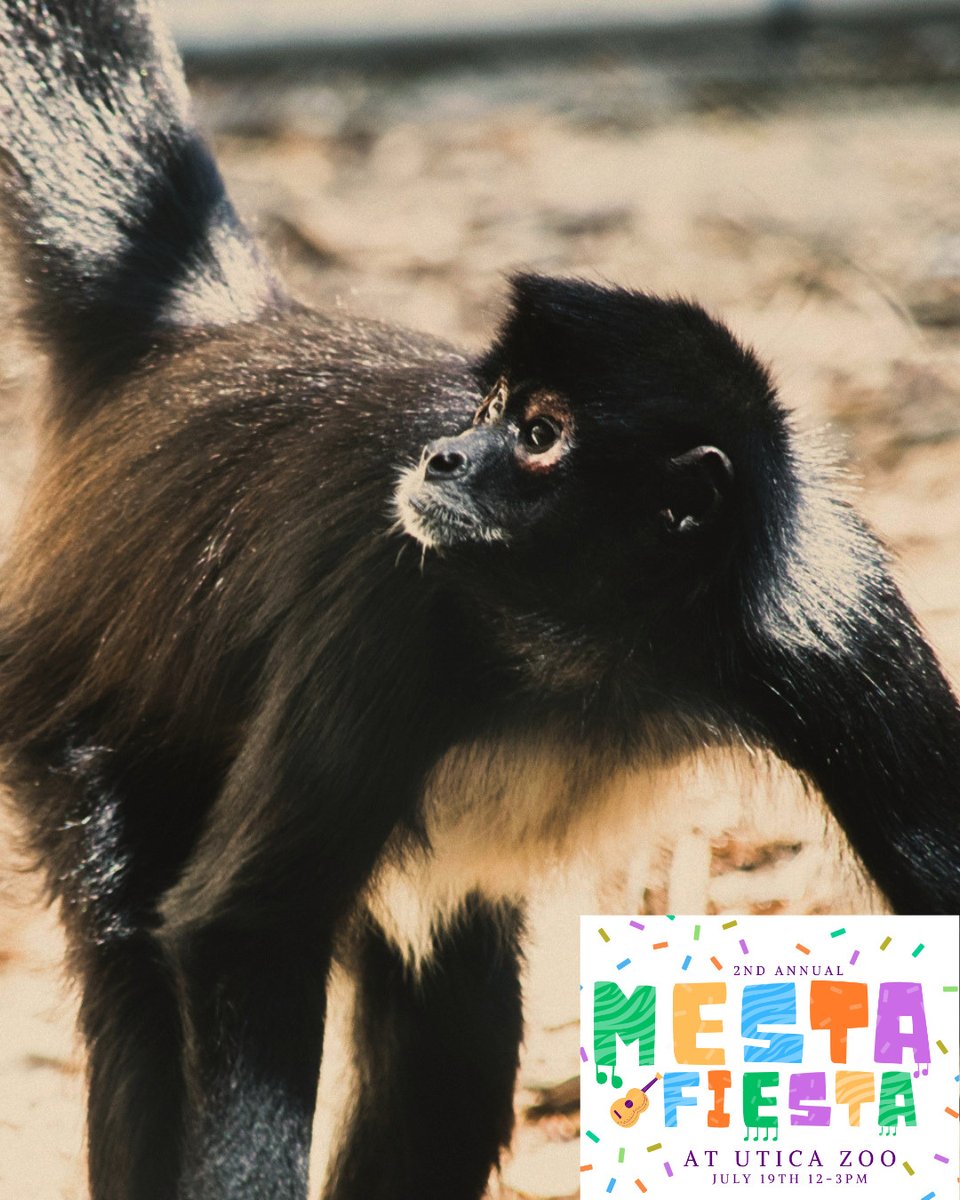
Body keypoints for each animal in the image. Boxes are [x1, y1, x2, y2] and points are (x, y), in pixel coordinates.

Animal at [0, 3, 958, 1200]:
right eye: (491, 406)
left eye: (538, 433)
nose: (446, 455)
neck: (596, 646)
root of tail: (215, 338)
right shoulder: (393, 598)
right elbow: (247, 928)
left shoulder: (824, 613)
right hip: (72, 705)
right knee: (139, 963)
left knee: (449, 1032)